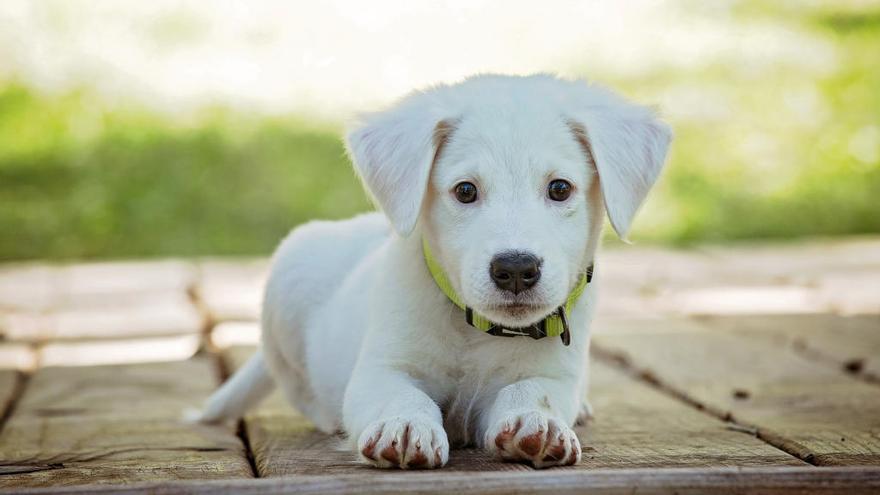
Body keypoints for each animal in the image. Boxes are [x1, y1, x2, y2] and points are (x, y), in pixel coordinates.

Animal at [198, 72, 668, 468]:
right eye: (465, 191)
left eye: (559, 188)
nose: (516, 269)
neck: (476, 331)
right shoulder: (381, 369)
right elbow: (402, 396)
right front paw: (405, 426)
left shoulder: (553, 374)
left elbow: (532, 391)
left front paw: (537, 423)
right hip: (288, 281)